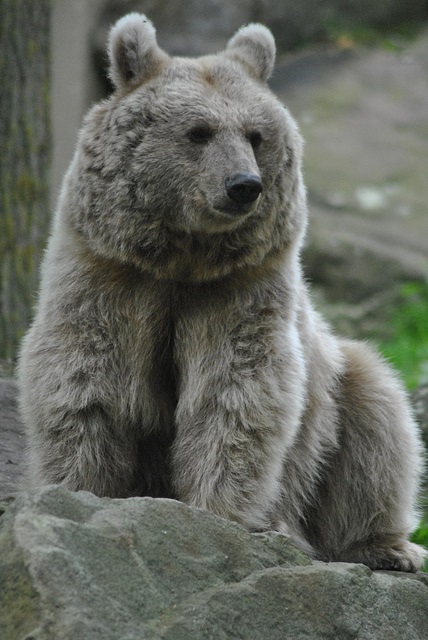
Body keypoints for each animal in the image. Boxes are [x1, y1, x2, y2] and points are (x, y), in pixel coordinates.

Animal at [17, 13, 426, 571]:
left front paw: (222, 515)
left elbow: (238, 392)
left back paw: (385, 547)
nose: (243, 185)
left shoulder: (240, 289)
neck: (182, 260)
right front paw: (79, 490)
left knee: (379, 421)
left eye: (256, 135)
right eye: (198, 132)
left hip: (340, 387)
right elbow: (83, 379)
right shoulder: (107, 276)